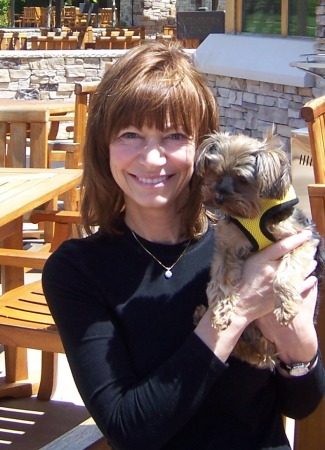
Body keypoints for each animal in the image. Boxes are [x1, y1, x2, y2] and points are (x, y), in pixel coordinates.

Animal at [195, 129, 324, 370]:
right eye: (214, 172)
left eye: (242, 179)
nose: (218, 197)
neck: (253, 214)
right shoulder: (228, 246)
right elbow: (221, 279)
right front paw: (219, 311)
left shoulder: (302, 239)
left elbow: (288, 271)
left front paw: (285, 306)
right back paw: (202, 314)